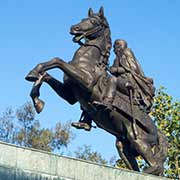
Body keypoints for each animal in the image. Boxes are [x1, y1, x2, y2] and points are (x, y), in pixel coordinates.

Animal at [25, 7, 167, 176]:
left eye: (94, 21)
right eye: (82, 19)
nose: (73, 28)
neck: (88, 60)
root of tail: (157, 132)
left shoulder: (85, 82)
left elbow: (58, 60)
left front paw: (35, 73)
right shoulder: (69, 95)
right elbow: (46, 75)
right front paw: (36, 93)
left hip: (137, 139)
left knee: (156, 165)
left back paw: (147, 171)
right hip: (124, 144)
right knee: (137, 163)